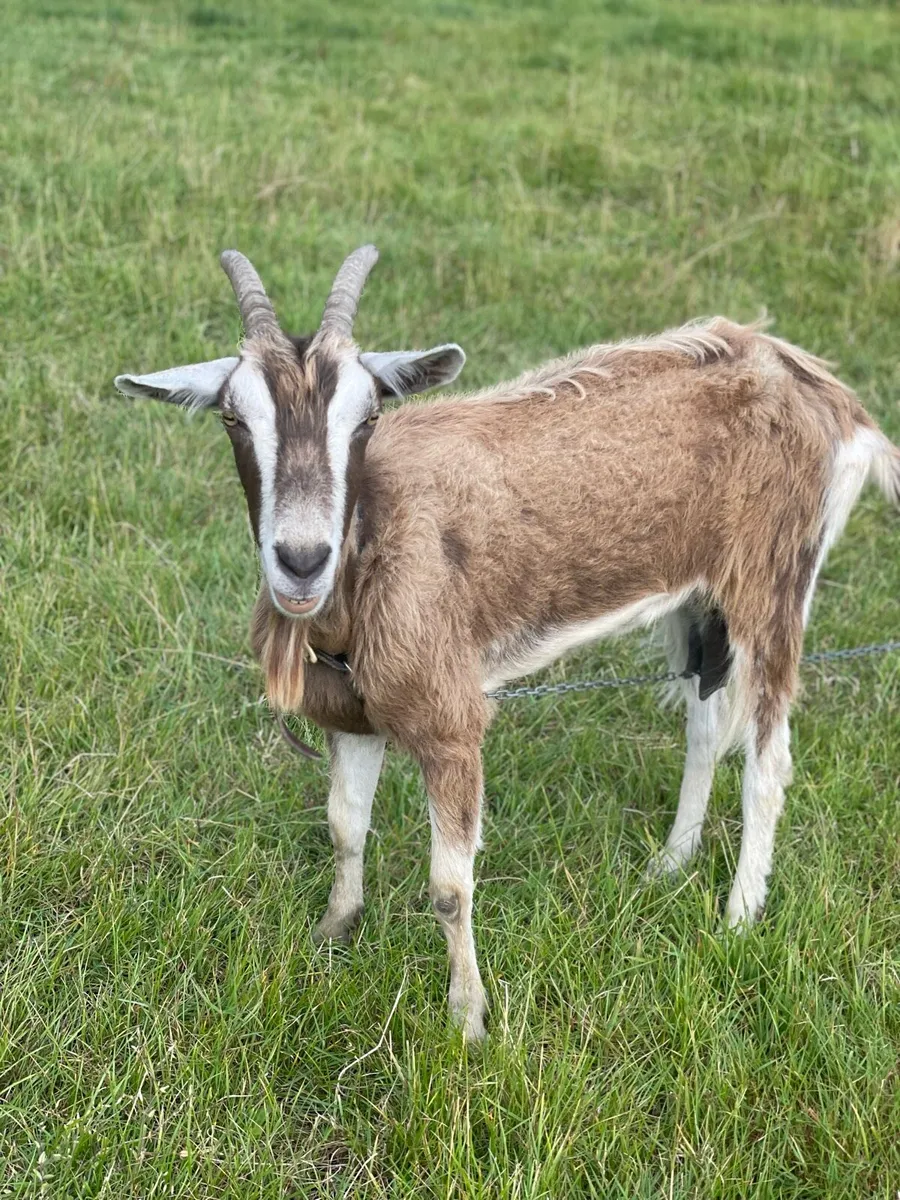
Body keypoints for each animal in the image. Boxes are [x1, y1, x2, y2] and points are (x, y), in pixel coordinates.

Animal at [116, 246, 900, 1041]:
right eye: (233, 416)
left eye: (368, 415)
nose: (301, 560)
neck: (378, 541)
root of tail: (825, 392)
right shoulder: (355, 715)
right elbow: (344, 827)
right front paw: (334, 933)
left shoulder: (450, 723)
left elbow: (449, 884)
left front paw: (469, 1019)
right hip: (699, 603)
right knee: (706, 727)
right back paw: (670, 865)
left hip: (773, 587)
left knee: (769, 760)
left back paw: (739, 916)